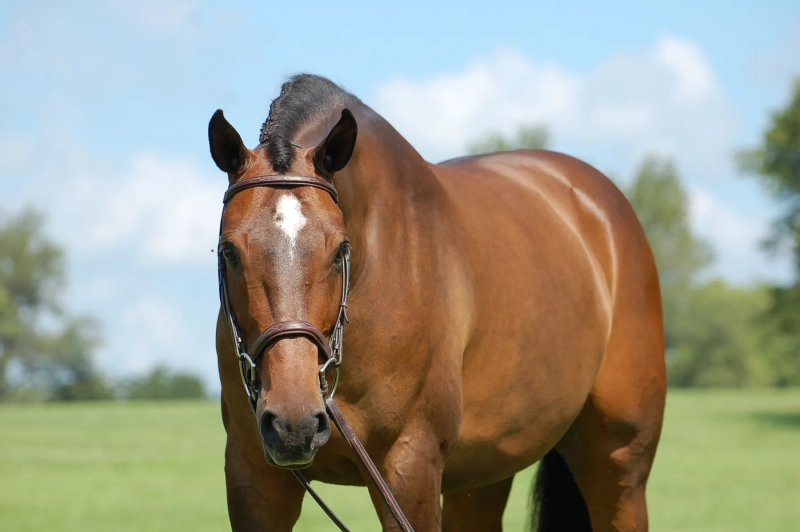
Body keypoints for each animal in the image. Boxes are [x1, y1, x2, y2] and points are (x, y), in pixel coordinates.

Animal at [209, 74, 666, 531]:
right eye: (229, 251)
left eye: (340, 250)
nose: (295, 423)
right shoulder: (255, 475)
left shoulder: (410, 466)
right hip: (484, 472)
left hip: (619, 465)